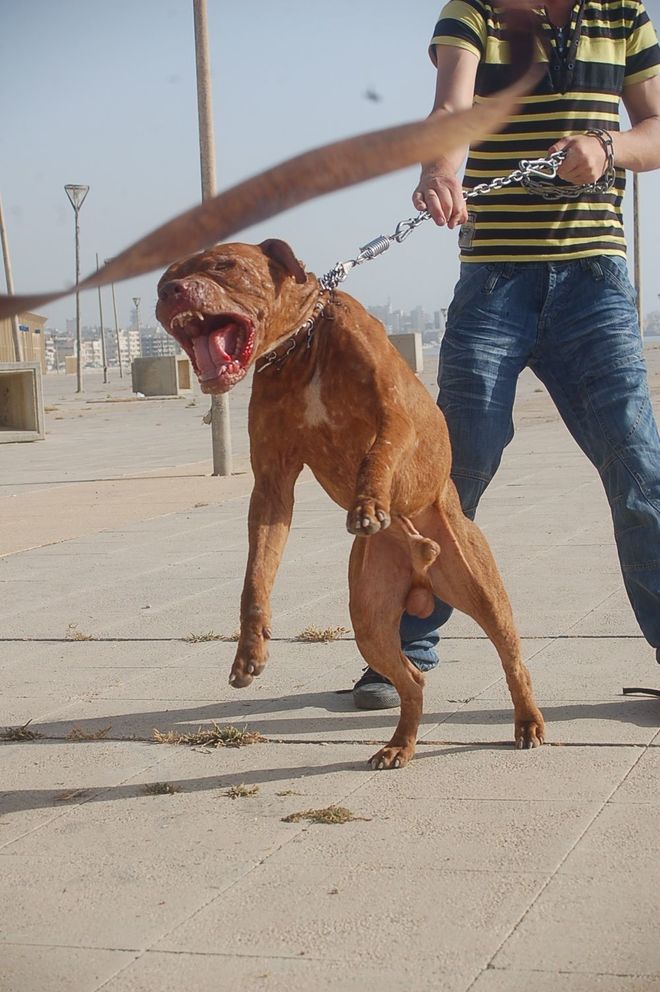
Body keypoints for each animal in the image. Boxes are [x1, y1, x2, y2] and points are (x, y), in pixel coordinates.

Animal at [157, 240, 544, 768]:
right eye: (165, 278)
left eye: (223, 265)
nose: (170, 291)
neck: (303, 345)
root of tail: (422, 567)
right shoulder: (272, 484)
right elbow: (256, 574)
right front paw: (249, 652)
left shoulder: (395, 416)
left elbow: (378, 454)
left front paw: (368, 504)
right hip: (369, 618)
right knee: (411, 680)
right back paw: (400, 744)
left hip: (480, 587)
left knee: (512, 656)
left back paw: (527, 722)